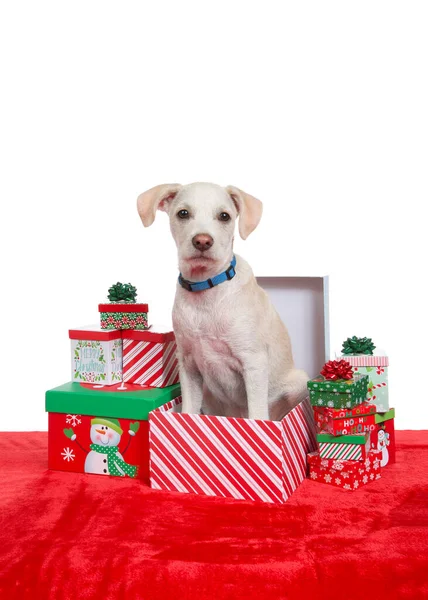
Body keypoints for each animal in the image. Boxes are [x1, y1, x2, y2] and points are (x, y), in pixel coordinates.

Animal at [139, 180, 310, 420]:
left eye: (224, 216)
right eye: (183, 213)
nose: (202, 241)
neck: (206, 289)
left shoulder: (254, 363)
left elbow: (257, 414)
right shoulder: (188, 366)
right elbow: (188, 410)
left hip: (299, 382)